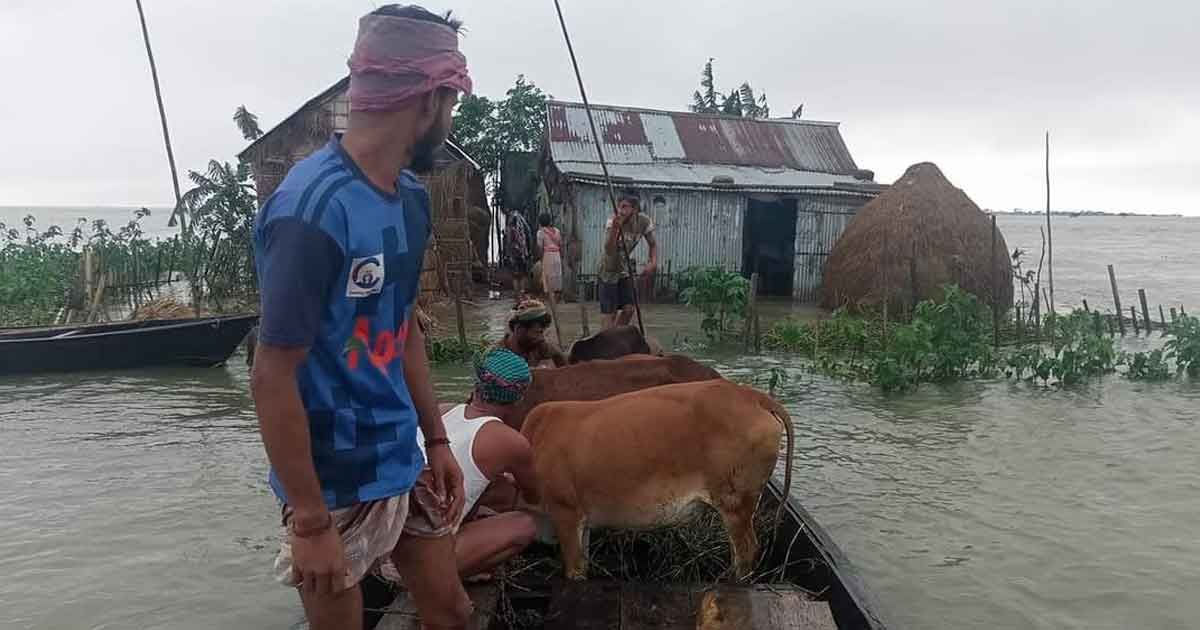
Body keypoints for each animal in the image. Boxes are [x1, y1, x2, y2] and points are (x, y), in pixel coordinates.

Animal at [518, 379, 792, 580]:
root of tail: (751, 395)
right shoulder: (581, 521)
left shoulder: (565, 513)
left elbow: (574, 570)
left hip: (734, 504)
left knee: (746, 551)